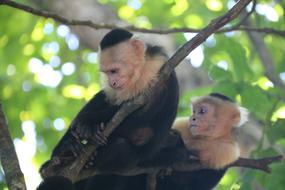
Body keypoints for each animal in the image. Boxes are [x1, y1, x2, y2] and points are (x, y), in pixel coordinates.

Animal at [37, 28, 179, 190]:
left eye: (114, 71)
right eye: (106, 72)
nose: (113, 83)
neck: (139, 72)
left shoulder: (158, 70)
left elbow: (141, 114)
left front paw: (89, 123)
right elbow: (107, 100)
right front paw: (82, 131)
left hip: (132, 160)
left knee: (121, 146)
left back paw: (90, 156)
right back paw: (62, 155)